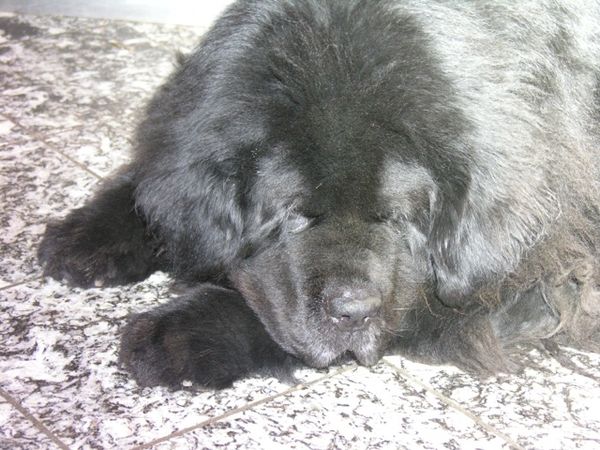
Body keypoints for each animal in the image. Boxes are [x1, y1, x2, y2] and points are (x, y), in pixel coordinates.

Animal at [39, 0, 600, 389]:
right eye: (294, 215)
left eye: (397, 219)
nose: (352, 312)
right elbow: (153, 181)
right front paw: (88, 235)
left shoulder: (546, 275)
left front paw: (181, 332)